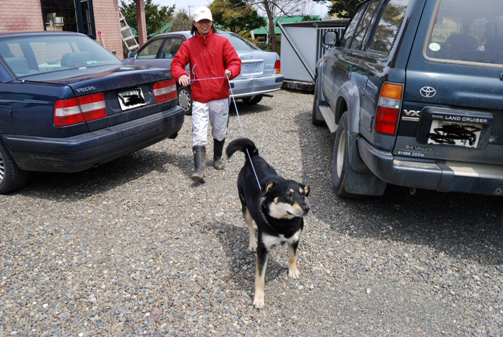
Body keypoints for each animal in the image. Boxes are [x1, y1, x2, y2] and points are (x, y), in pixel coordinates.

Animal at [226, 136, 310, 308]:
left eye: (303, 194)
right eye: (288, 195)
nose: (307, 208)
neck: (283, 222)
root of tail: (253, 157)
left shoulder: (295, 239)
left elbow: (292, 256)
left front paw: (293, 271)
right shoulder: (263, 249)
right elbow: (260, 277)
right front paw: (258, 298)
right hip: (245, 207)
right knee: (250, 226)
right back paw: (251, 242)